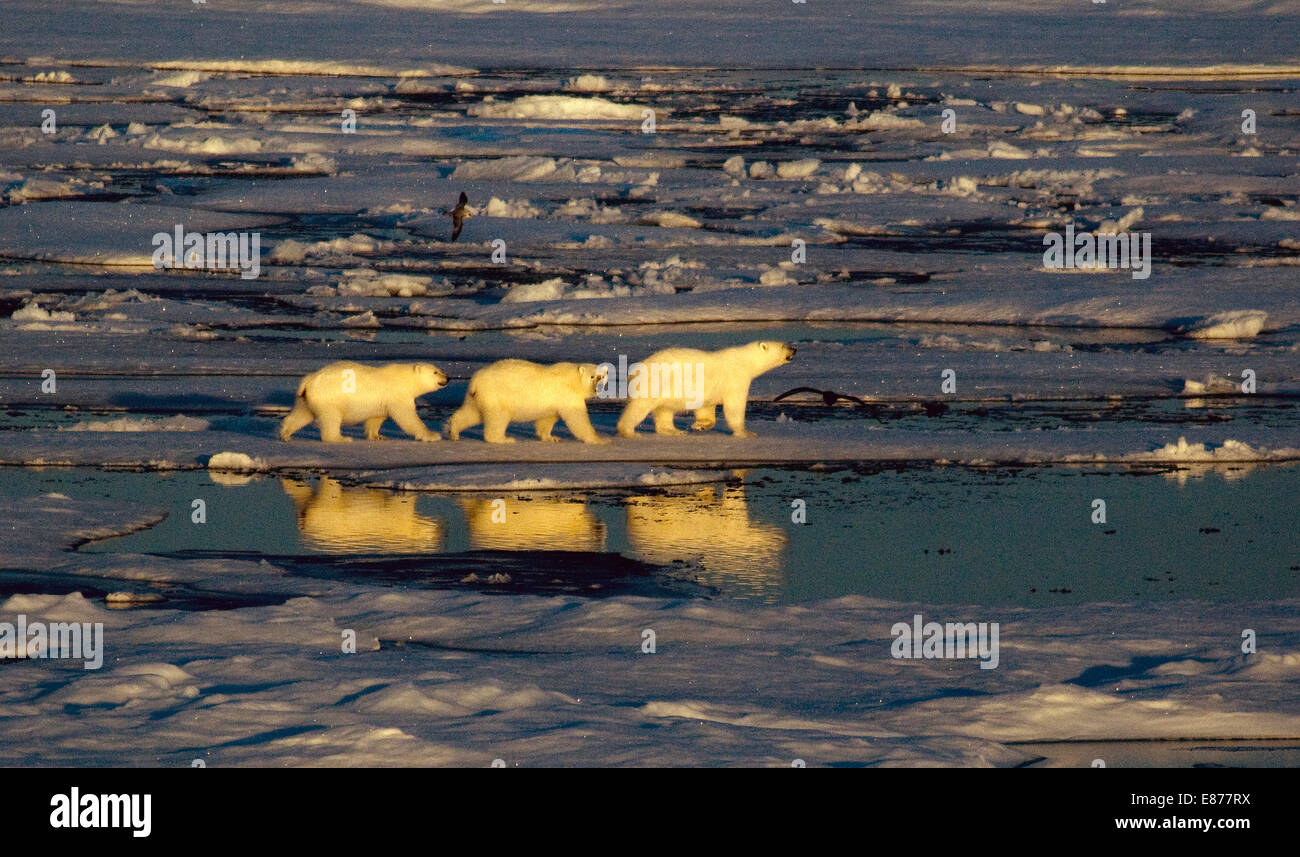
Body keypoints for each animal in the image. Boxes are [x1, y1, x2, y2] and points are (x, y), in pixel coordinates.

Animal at [279, 361, 447, 442]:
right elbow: (407, 417)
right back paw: (341, 438)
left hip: (307, 398)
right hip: (329, 397)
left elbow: (376, 418)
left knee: (302, 414)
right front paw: (432, 435)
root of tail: (308, 381)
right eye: (435, 372)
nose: (447, 378)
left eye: (440, 370)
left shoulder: (381, 401)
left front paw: (378, 436)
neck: (406, 379)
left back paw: (285, 434)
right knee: (331, 418)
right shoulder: (397, 394)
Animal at [447, 358, 608, 444]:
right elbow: (578, 419)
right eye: (592, 377)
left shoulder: (553, 401)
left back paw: (453, 431)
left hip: (476, 397)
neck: (574, 380)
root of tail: (476, 379)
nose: (598, 387)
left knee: (472, 413)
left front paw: (551, 437)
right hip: (497, 395)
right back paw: (504, 439)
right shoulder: (567, 394)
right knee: (498, 417)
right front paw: (600, 439)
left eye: (602, 376)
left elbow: (547, 419)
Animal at [616, 340, 790, 439]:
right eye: (783, 346)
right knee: (639, 407)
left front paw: (699, 425)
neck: (746, 361)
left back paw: (674, 431)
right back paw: (629, 432)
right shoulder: (736, 379)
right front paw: (746, 433)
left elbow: (706, 408)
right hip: (654, 383)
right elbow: (734, 408)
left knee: (664, 410)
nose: (794, 349)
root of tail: (635, 370)